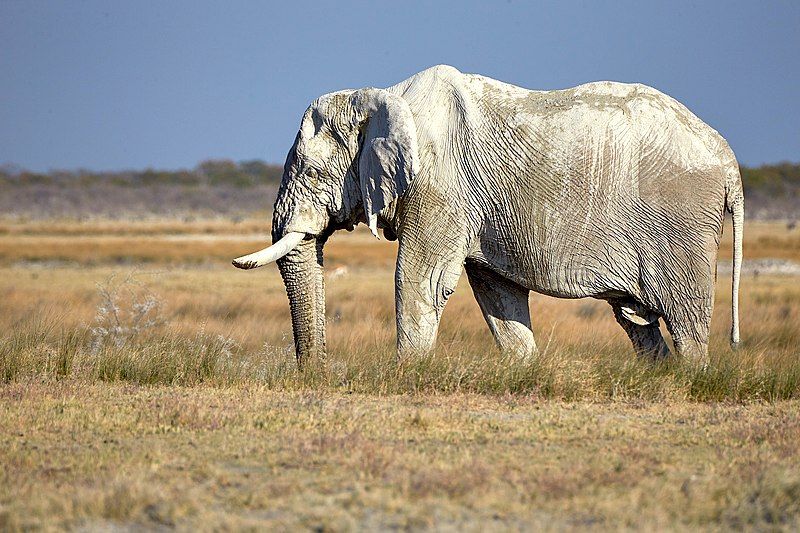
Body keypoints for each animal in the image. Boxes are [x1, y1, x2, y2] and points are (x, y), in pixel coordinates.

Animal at [231, 65, 744, 366]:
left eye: (311, 171)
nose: (318, 374)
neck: (380, 97)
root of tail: (729, 162)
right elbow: (496, 292)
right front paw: (525, 374)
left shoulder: (439, 187)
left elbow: (419, 278)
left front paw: (407, 376)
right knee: (637, 322)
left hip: (682, 223)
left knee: (686, 321)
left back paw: (689, 381)